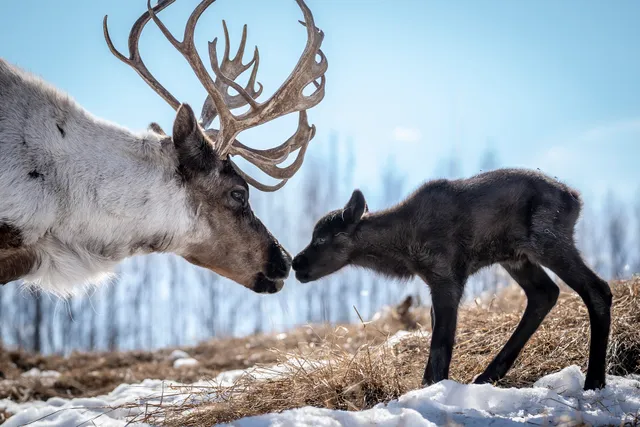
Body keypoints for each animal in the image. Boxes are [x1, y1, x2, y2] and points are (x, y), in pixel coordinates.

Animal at [292, 168, 612, 391]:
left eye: (321, 238)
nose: (295, 263)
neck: (402, 247)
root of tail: (575, 198)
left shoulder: (446, 277)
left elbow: (441, 345)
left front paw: (431, 388)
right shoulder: (436, 281)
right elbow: (437, 337)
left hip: (548, 242)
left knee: (597, 289)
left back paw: (594, 381)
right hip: (517, 257)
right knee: (544, 293)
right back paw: (488, 374)